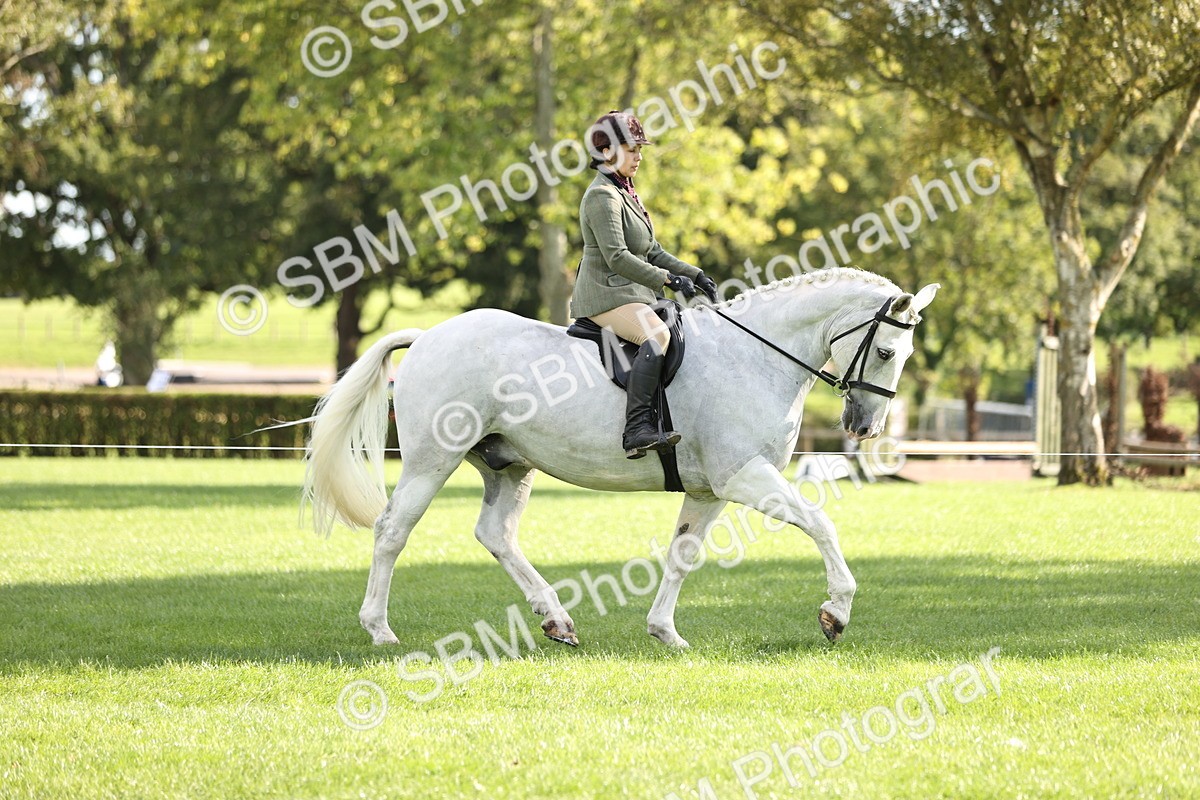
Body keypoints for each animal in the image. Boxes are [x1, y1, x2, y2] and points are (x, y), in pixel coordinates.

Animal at [302, 267, 938, 648]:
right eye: (887, 351)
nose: (864, 426)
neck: (755, 356)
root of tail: (429, 334)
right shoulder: (744, 477)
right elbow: (821, 523)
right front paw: (837, 612)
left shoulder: (709, 490)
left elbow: (682, 554)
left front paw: (665, 633)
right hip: (433, 460)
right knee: (393, 530)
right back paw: (380, 630)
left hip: (509, 464)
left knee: (495, 534)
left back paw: (557, 619)